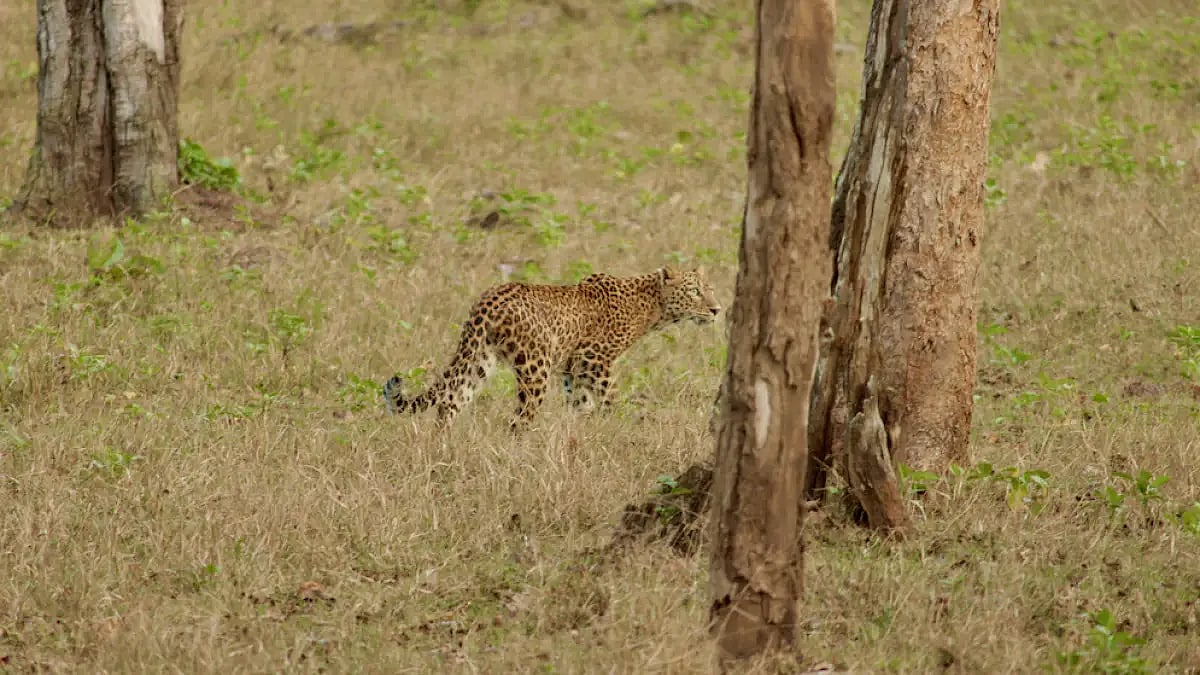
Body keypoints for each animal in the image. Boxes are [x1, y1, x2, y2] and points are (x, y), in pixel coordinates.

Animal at [382, 266, 721, 429]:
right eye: (694, 292)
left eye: (710, 290)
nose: (717, 309)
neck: (653, 307)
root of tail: (489, 299)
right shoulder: (594, 359)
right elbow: (611, 399)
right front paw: (619, 428)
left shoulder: (574, 370)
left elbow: (582, 405)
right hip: (535, 368)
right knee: (519, 419)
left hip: (480, 359)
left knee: (451, 401)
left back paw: (442, 448)